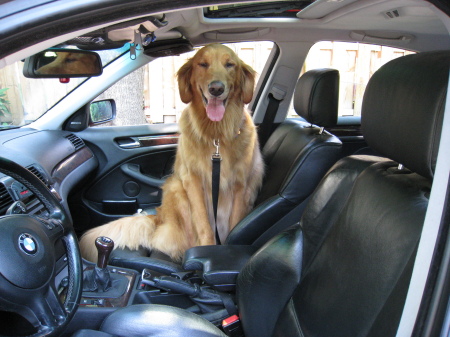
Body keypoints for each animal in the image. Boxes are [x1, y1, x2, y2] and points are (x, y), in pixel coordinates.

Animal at [80, 43, 264, 262]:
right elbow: (204, 224)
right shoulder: (193, 180)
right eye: (203, 64)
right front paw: (207, 248)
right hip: (176, 188)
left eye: (230, 65)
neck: (216, 135)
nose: (216, 89)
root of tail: (159, 218)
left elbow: (234, 225)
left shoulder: (241, 184)